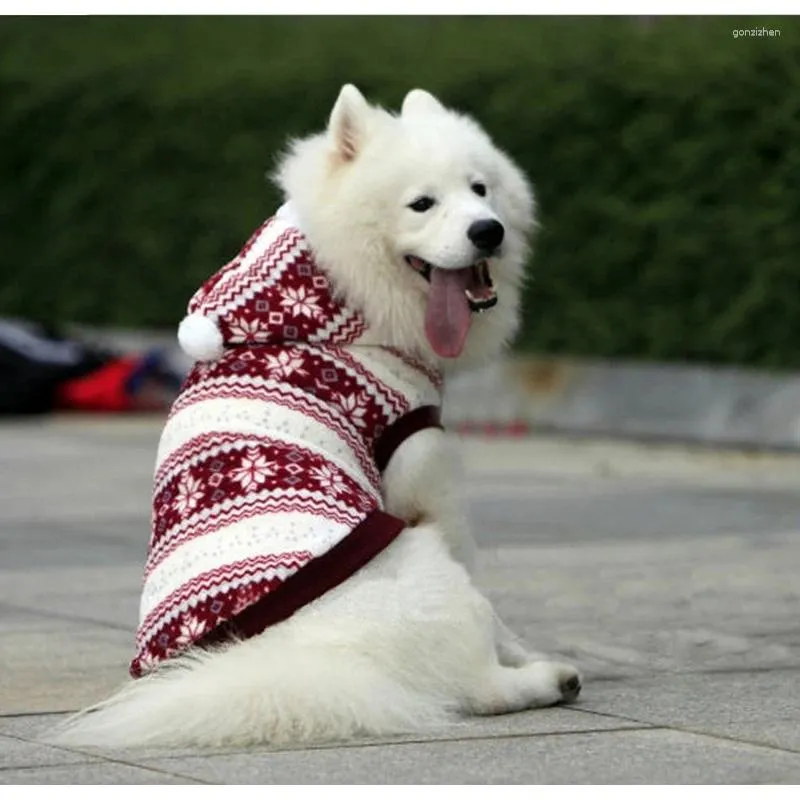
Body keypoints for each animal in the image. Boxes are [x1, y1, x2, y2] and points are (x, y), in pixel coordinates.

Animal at [45, 84, 580, 748]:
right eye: (422, 204)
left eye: (480, 188)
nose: (488, 231)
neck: (345, 286)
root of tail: (315, 656)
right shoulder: (424, 464)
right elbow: (488, 593)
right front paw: (529, 650)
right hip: (426, 567)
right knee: (481, 687)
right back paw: (552, 678)